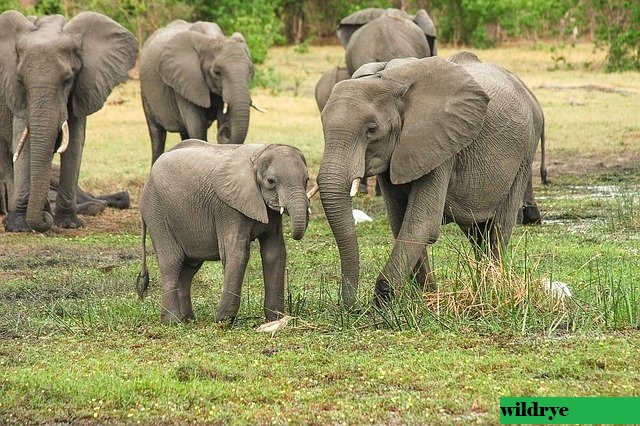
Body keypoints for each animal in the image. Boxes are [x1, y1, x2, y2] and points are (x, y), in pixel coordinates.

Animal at [0, 11, 139, 233]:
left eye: (67, 80)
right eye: (21, 80)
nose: (45, 220)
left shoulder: (83, 86)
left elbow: (74, 144)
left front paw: (68, 224)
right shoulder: (15, 95)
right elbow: (23, 142)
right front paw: (19, 226)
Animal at [136, 140, 312, 322]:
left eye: (306, 180)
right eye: (271, 181)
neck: (259, 154)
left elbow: (275, 253)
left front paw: (276, 319)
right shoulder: (228, 208)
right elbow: (237, 253)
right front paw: (223, 321)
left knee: (189, 268)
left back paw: (188, 320)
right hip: (156, 212)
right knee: (172, 262)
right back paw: (172, 322)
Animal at [141, 20, 256, 164]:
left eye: (251, 71)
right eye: (217, 73)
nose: (226, 130)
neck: (212, 39)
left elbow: (222, 119)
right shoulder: (185, 81)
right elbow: (197, 128)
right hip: (145, 92)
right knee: (157, 135)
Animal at [316, 53, 544, 308]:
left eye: (371, 130)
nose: (352, 307)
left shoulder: (441, 143)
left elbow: (421, 223)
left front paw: (384, 301)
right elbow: (400, 222)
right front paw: (426, 297)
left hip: (525, 152)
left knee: (498, 228)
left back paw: (492, 289)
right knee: (478, 232)